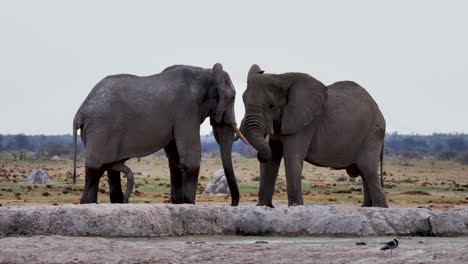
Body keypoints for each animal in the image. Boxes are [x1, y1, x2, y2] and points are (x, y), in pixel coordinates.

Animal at [72, 63, 249, 205]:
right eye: (232, 97)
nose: (233, 204)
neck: (205, 72)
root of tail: (80, 112)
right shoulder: (186, 111)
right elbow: (190, 154)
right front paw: (189, 204)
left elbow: (175, 157)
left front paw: (179, 204)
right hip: (101, 129)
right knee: (95, 169)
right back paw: (90, 203)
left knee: (109, 169)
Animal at [239, 64, 390, 208]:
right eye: (243, 102)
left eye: (271, 106)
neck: (281, 77)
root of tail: (378, 109)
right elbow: (272, 159)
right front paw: (263, 206)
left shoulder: (305, 124)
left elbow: (291, 157)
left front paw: (296, 206)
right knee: (364, 173)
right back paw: (367, 207)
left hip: (372, 133)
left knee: (368, 170)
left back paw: (379, 207)